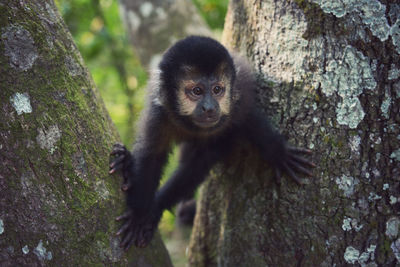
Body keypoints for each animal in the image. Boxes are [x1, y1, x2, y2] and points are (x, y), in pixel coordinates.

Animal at [109, 36, 316, 251]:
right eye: (197, 91)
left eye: (217, 90)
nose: (209, 107)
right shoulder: (158, 114)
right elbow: (150, 156)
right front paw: (140, 214)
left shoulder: (237, 101)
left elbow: (248, 122)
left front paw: (279, 154)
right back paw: (124, 162)